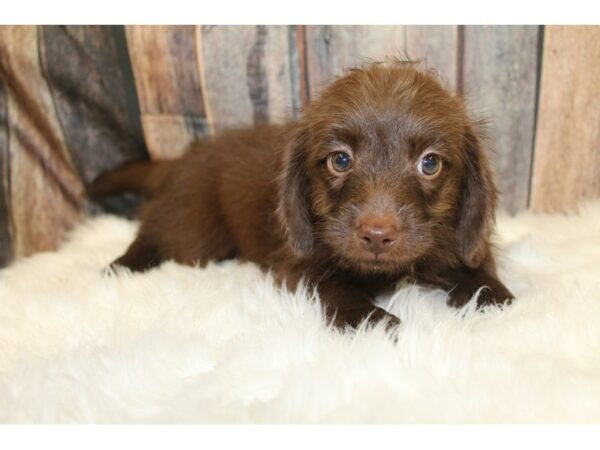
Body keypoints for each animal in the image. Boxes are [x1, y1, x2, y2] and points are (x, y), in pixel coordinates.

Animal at [91, 61, 512, 328]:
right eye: (340, 160)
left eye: (430, 163)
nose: (377, 235)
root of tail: (181, 158)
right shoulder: (298, 264)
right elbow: (335, 286)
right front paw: (369, 321)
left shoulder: (462, 241)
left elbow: (479, 272)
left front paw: (493, 299)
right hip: (194, 229)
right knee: (152, 233)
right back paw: (120, 267)